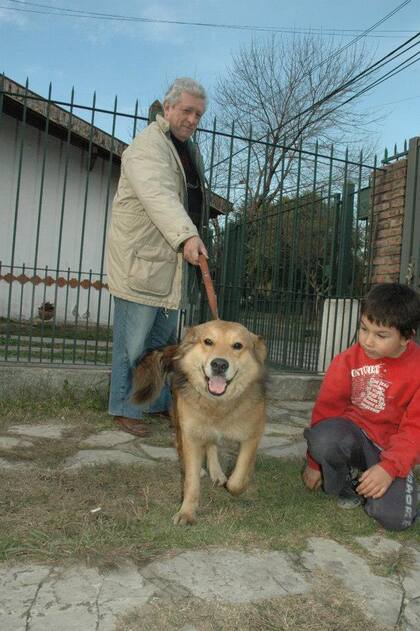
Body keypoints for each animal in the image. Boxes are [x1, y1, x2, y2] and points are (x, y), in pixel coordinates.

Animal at [133, 318, 268, 524]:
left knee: (211, 445)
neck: (218, 404)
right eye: (208, 342)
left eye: (237, 345)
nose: (219, 364)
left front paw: (240, 483)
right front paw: (187, 512)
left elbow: (238, 477)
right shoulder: (191, 434)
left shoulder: (253, 435)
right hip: (180, 421)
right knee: (184, 446)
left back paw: (217, 473)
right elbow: (191, 481)